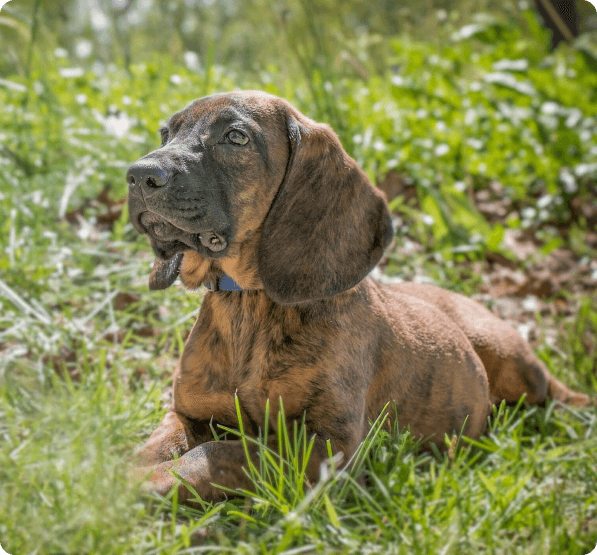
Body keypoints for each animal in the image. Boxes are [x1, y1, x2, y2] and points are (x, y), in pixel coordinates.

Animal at [125, 90, 592, 504]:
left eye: (235, 136)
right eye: (166, 132)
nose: (138, 175)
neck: (249, 302)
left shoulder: (326, 449)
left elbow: (217, 454)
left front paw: (147, 484)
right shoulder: (189, 415)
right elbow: (152, 446)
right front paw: (119, 476)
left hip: (508, 355)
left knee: (551, 389)